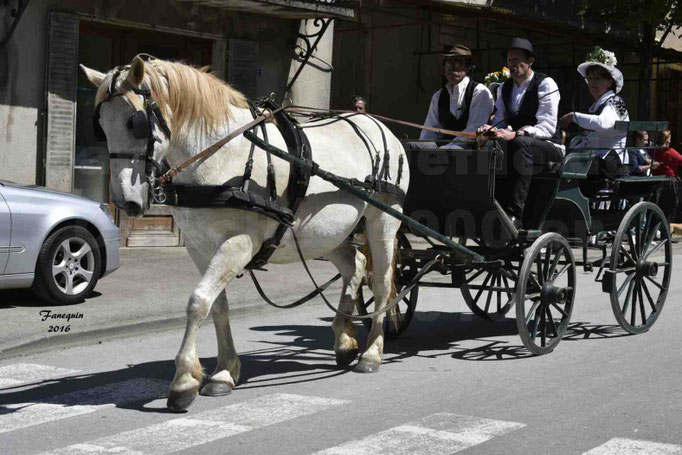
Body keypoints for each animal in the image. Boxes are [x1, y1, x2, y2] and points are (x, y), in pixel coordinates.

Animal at [79, 55, 410, 412]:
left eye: (134, 123)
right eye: (101, 126)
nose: (125, 202)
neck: (220, 155)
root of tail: (379, 125)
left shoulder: (239, 244)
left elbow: (198, 301)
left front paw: (183, 381)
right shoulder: (200, 246)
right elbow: (216, 305)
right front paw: (224, 371)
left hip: (383, 221)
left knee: (381, 282)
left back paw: (372, 353)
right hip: (325, 232)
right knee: (355, 265)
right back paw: (345, 339)